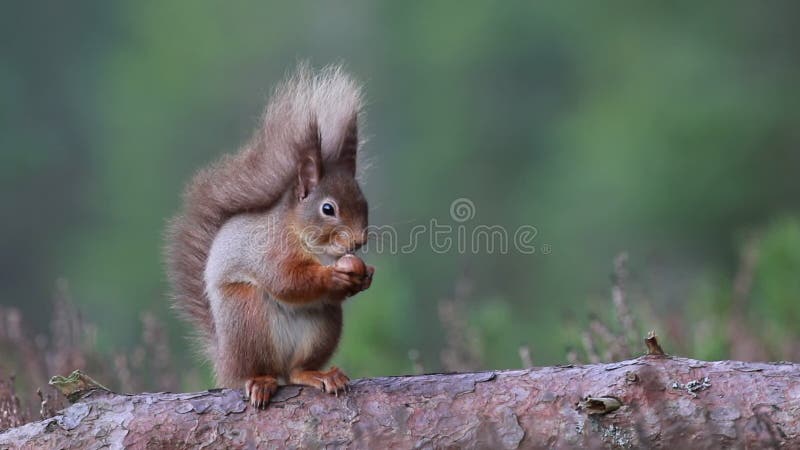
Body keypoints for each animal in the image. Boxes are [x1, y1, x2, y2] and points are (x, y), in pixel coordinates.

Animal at [165, 66, 376, 408]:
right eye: (328, 209)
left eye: (364, 201)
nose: (359, 241)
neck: (314, 245)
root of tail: (225, 360)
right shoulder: (270, 250)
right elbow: (286, 279)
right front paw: (333, 276)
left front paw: (366, 275)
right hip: (248, 318)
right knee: (260, 369)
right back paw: (261, 381)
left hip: (324, 326)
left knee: (295, 371)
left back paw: (319, 375)